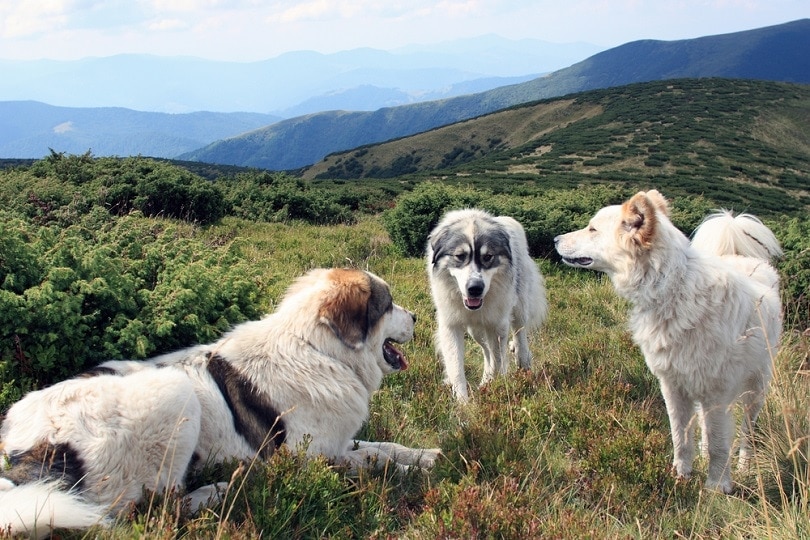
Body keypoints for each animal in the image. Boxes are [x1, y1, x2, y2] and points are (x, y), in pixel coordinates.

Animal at [0, 268, 438, 536]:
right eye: (388, 304)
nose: (418, 316)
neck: (319, 350)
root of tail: (21, 447)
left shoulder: (337, 440)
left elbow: (383, 446)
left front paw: (427, 456)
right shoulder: (308, 459)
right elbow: (370, 460)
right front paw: (410, 472)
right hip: (174, 392)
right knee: (151, 510)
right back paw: (220, 490)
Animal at [552, 191, 780, 494]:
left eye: (592, 229)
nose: (554, 239)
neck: (673, 287)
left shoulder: (716, 394)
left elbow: (720, 445)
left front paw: (716, 486)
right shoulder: (674, 387)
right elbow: (681, 438)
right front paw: (681, 476)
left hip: (756, 389)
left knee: (746, 434)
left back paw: (744, 465)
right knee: (705, 429)